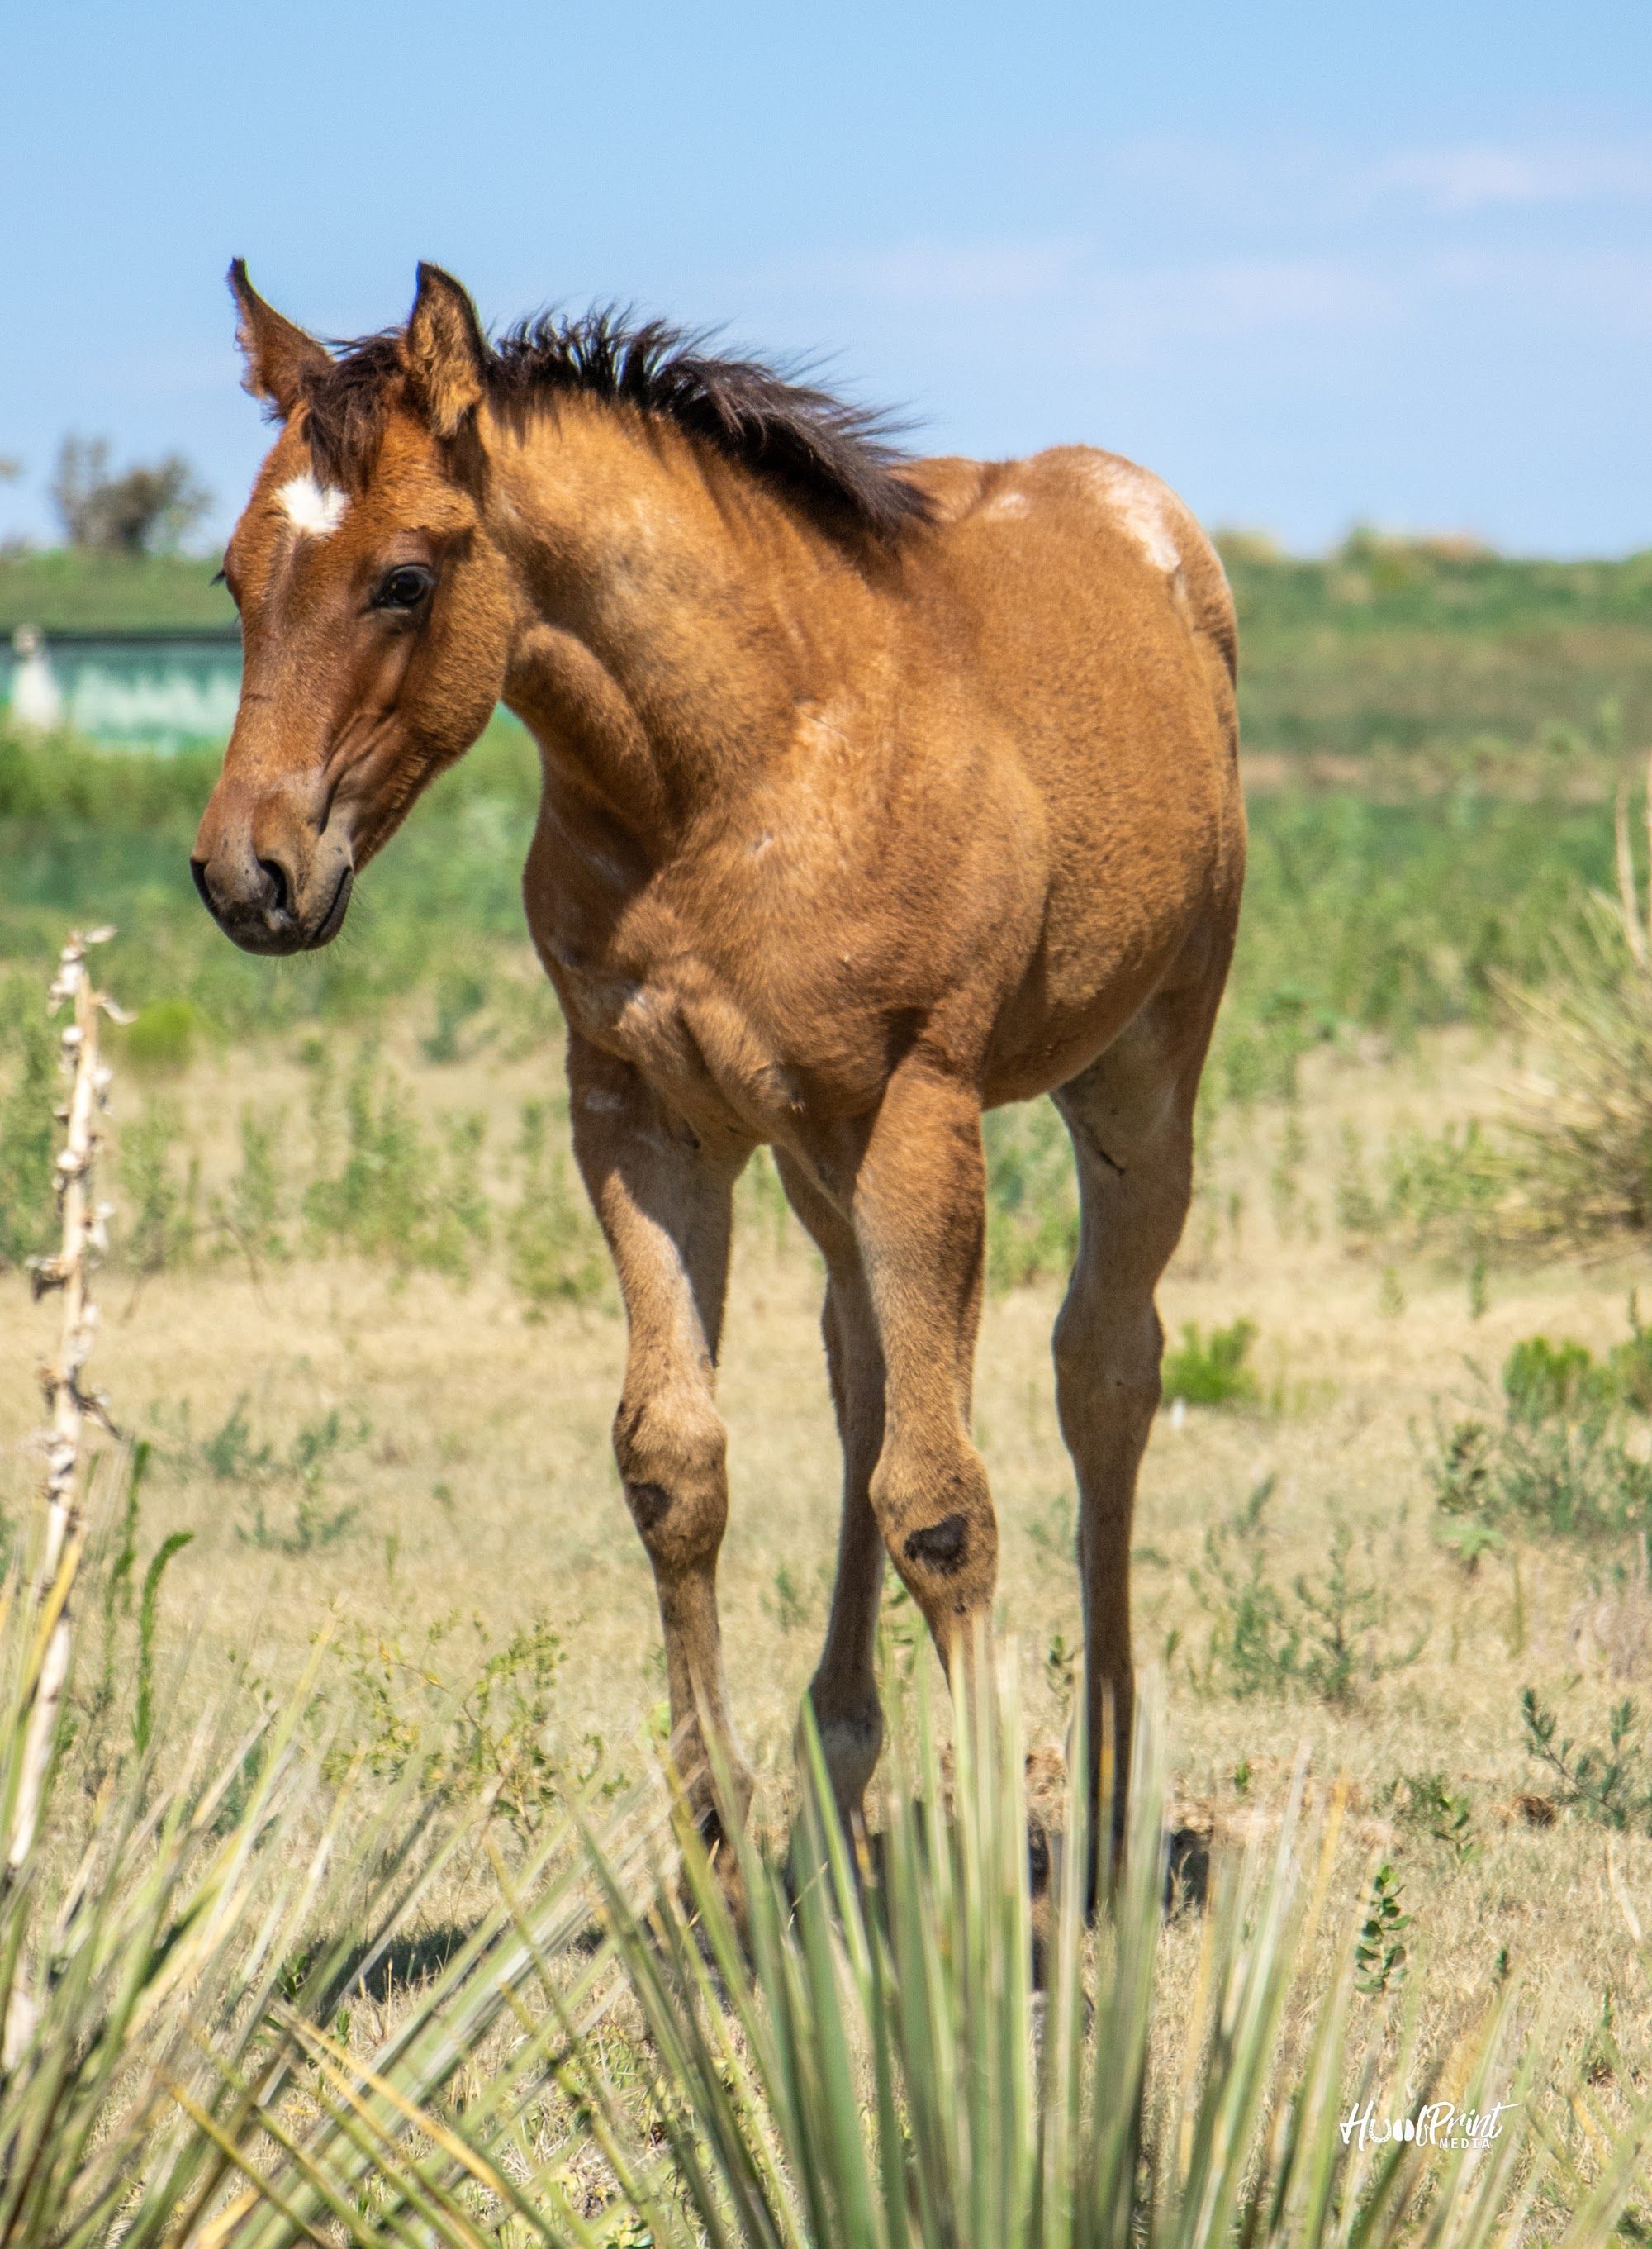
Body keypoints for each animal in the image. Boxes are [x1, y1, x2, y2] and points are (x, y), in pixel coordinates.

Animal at [193, 260, 1245, 1858]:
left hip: (1138, 1079)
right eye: (234, 579)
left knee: (1103, 1372)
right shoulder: (642, 1118)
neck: (739, 762)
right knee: (863, 1370)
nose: (246, 874)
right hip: (814, 1149)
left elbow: (941, 1500)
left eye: (404, 580)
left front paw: (982, 1853)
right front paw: (720, 1831)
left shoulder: (916, 1111)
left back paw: (1114, 1785)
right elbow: (676, 1458)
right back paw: (843, 1749)